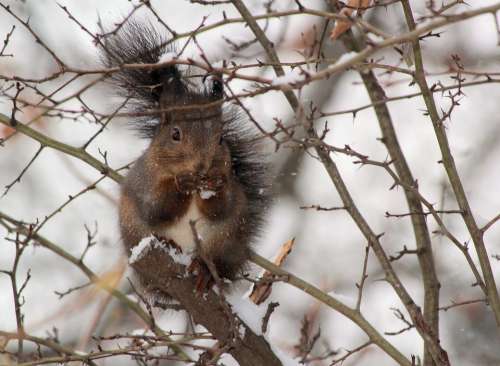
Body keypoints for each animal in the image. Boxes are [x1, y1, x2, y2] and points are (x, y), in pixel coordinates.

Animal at [101, 20, 272, 292]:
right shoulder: (144, 184)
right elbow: (155, 209)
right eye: (175, 134)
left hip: (227, 238)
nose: (201, 166)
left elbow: (221, 208)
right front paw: (181, 183)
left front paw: (215, 185)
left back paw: (205, 271)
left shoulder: (230, 197)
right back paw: (169, 246)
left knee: (217, 261)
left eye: (220, 138)